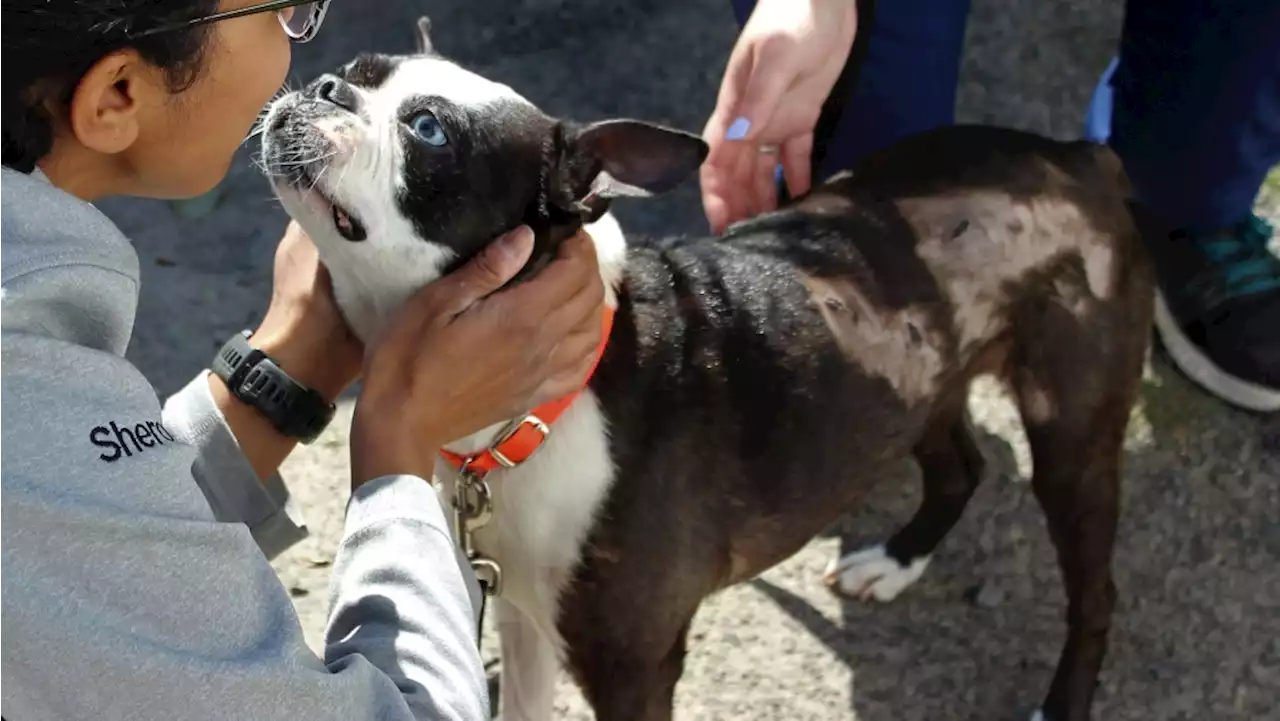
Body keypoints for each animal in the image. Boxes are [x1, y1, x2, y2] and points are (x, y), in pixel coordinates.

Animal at [257, 16, 1152, 721]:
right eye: (360, 72)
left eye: (428, 130)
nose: (326, 85)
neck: (546, 403)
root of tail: (1082, 156)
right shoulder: (523, 616)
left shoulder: (632, 666)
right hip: (919, 381)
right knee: (961, 466)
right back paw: (897, 562)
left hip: (1071, 431)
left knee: (1096, 590)